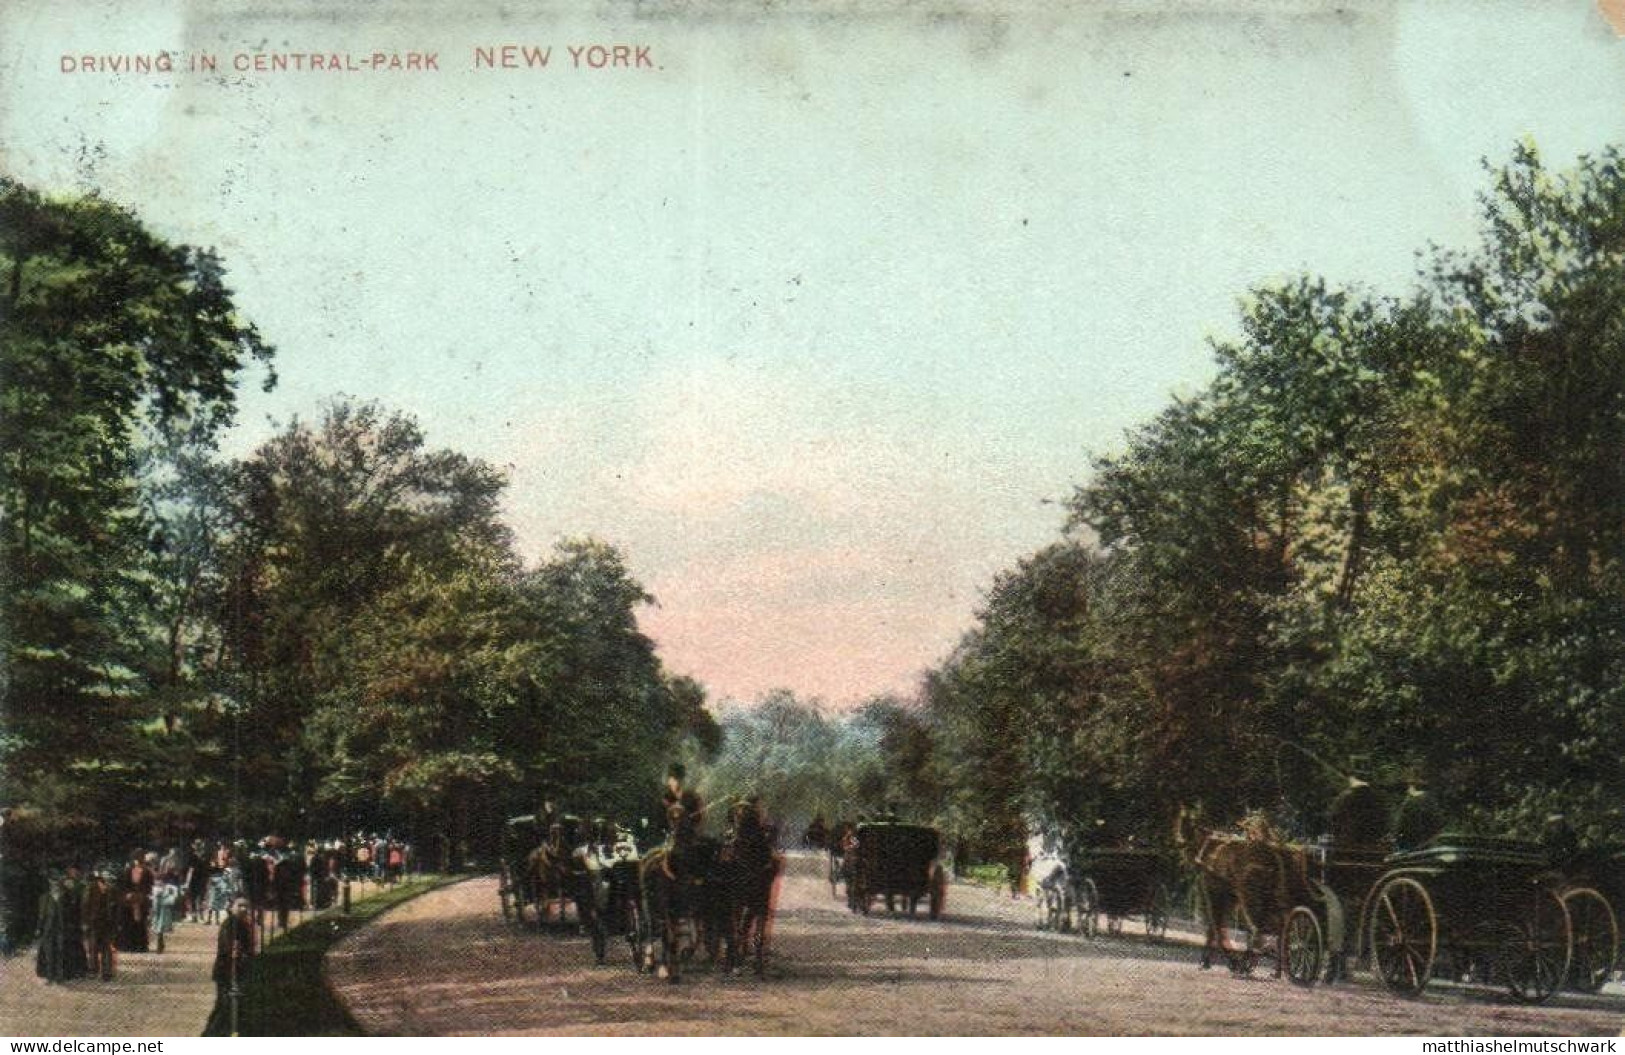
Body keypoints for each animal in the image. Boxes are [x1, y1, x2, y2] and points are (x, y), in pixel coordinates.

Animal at [1176, 806, 1313, 968]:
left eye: (1183, 824)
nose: (1178, 842)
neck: (1207, 847)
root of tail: (1273, 855)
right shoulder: (1230, 897)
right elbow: (1215, 926)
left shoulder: (1215, 891)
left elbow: (1215, 925)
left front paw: (1220, 959)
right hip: (1269, 895)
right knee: (1278, 925)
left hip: (1251, 894)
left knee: (1263, 926)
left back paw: (1253, 959)